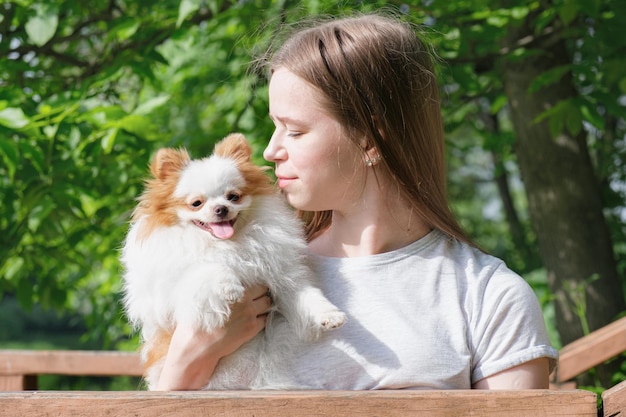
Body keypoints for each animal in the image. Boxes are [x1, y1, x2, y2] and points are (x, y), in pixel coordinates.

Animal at [120, 134, 346, 390]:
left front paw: (329, 315)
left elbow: (307, 295)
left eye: (233, 197)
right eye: (196, 203)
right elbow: (205, 268)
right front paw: (229, 287)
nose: (221, 208)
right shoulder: (168, 291)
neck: (229, 243)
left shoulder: (281, 277)